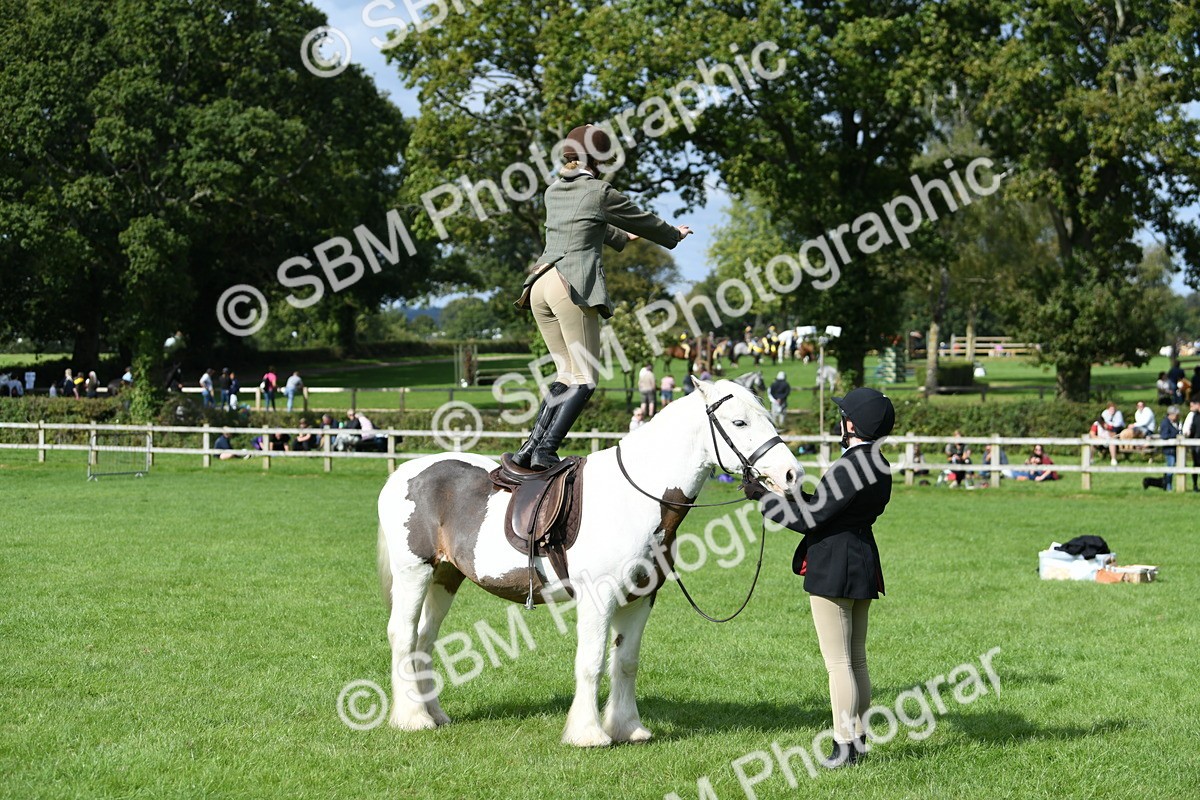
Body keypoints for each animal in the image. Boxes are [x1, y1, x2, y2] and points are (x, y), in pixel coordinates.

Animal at [376, 378, 800, 746]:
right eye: (739, 422)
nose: (791, 473)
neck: (636, 497)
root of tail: (403, 473)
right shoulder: (599, 598)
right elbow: (592, 662)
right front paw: (588, 734)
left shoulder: (640, 600)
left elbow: (625, 662)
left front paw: (628, 728)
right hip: (414, 573)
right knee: (403, 635)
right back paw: (412, 718)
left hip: (446, 576)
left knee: (424, 639)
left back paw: (434, 714)